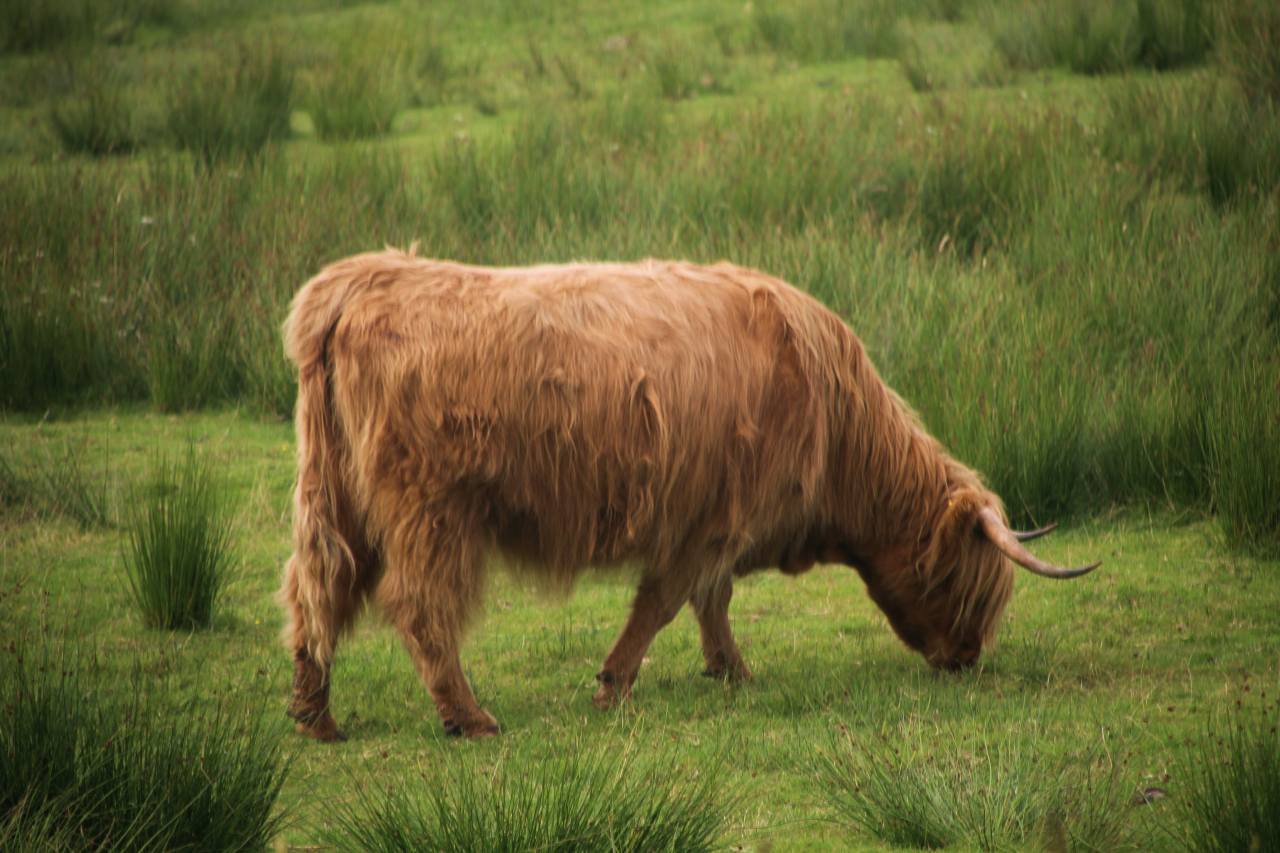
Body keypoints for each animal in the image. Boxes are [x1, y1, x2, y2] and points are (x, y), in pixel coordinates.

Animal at [280, 247, 1098, 741]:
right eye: (966, 579)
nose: (966, 658)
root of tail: (359, 280)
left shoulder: (714, 524)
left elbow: (710, 601)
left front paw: (730, 670)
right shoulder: (710, 519)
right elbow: (668, 601)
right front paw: (615, 684)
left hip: (333, 493)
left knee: (315, 588)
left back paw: (316, 716)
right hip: (433, 508)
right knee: (420, 608)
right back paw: (470, 716)